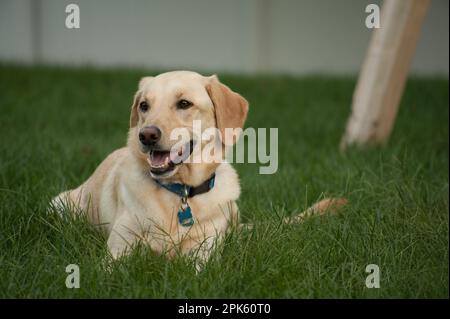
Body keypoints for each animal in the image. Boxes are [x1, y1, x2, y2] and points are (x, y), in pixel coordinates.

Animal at [51, 72, 344, 270]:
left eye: (184, 103)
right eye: (144, 106)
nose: (146, 135)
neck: (180, 191)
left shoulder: (204, 252)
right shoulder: (119, 249)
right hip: (60, 205)